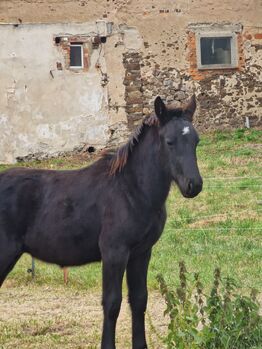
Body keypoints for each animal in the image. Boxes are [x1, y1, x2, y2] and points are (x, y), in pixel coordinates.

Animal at [0, 96, 203, 348]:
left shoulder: (141, 253)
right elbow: (112, 303)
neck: (131, 189)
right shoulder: (114, 252)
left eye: (196, 141)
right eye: (169, 142)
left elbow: (139, 299)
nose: (194, 185)